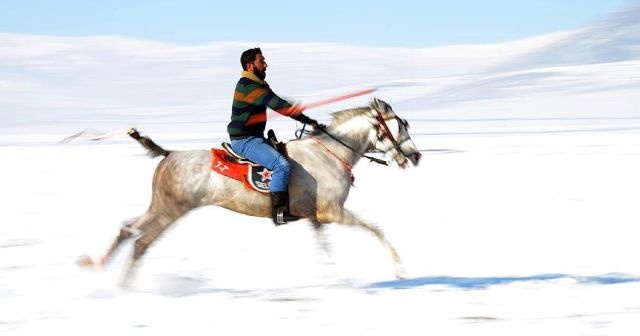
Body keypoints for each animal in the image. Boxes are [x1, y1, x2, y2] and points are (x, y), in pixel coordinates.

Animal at [77, 97, 422, 284]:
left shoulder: (314, 218)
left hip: (160, 205)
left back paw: (97, 267)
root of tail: (168, 154)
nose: (416, 156)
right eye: (400, 126)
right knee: (141, 242)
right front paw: (400, 269)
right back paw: (123, 287)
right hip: (171, 210)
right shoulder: (331, 212)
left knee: (127, 229)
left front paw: (331, 278)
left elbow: (324, 249)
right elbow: (375, 229)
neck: (329, 153)